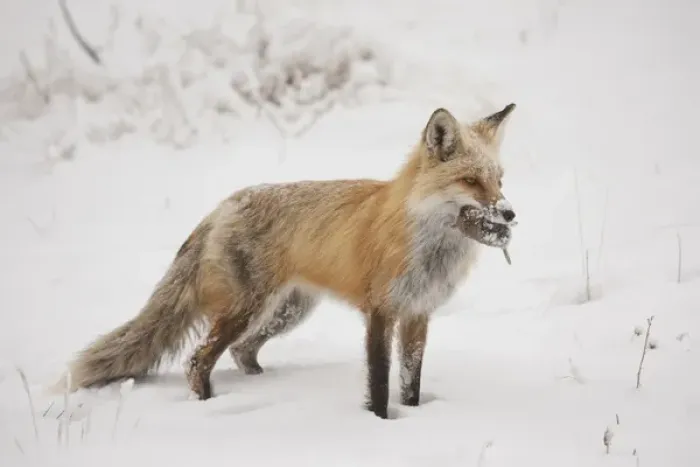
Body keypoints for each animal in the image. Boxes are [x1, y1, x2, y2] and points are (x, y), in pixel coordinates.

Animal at [57, 103, 518, 419]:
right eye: (471, 181)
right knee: (198, 359)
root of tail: (224, 204)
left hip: (286, 311)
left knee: (241, 351)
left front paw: (415, 416)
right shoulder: (381, 311)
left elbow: (410, 382)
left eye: (499, 180)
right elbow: (379, 381)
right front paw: (380, 424)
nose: (510, 213)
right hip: (247, 308)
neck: (427, 247)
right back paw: (206, 405)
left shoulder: (418, 314)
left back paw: (267, 388)